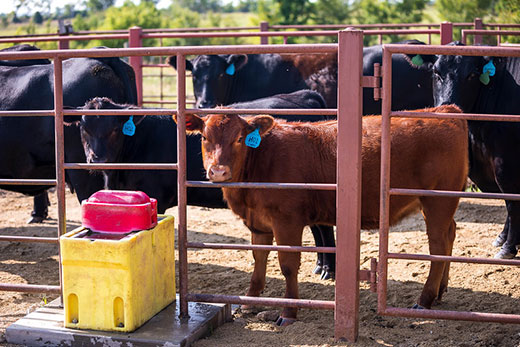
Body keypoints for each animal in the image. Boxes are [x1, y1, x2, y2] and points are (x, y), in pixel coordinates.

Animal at [76, 89, 336, 280]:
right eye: (83, 128)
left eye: (114, 129)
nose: (98, 159)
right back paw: (320, 265)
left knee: (323, 228)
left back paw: (328, 269)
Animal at [177, 105, 470, 326]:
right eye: (204, 137)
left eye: (239, 138)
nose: (218, 171)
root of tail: (444, 110)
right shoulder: (259, 224)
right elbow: (259, 258)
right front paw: (250, 301)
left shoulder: (287, 221)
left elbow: (287, 265)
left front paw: (288, 312)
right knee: (450, 235)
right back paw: (440, 291)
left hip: (437, 201)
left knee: (438, 246)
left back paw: (425, 299)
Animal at [432, 41, 520, 258]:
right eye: (436, 72)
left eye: (472, 75)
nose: (448, 109)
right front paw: (504, 238)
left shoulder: (505, 161)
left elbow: (512, 201)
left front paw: (509, 247)